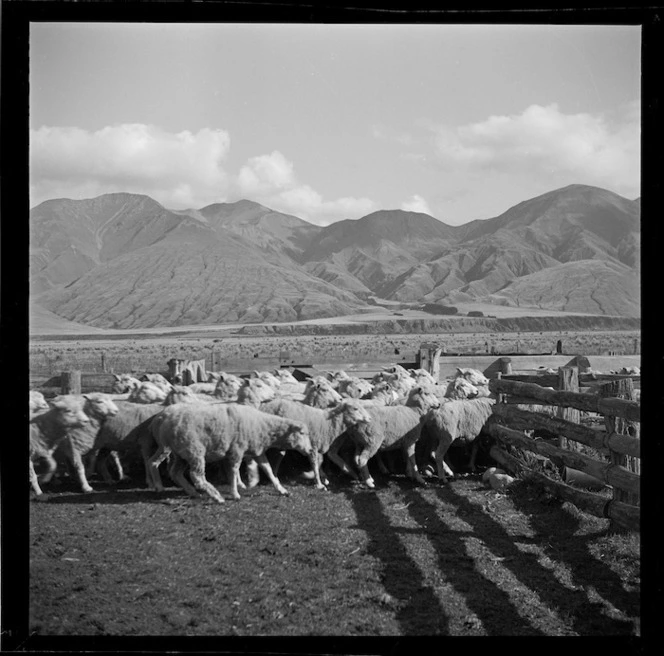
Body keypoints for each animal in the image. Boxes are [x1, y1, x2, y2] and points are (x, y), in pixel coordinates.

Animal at [149, 402, 316, 504]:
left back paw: (191, 492)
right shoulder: (236, 450)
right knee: (196, 476)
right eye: (302, 433)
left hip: (178, 453)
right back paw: (216, 496)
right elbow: (234, 472)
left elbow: (268, 469)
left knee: (170, 470)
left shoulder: (256, 451)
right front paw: (235, 493)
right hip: (193, 450)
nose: (310, 450)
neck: (262, 425)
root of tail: (162, 418)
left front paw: (282, 489)